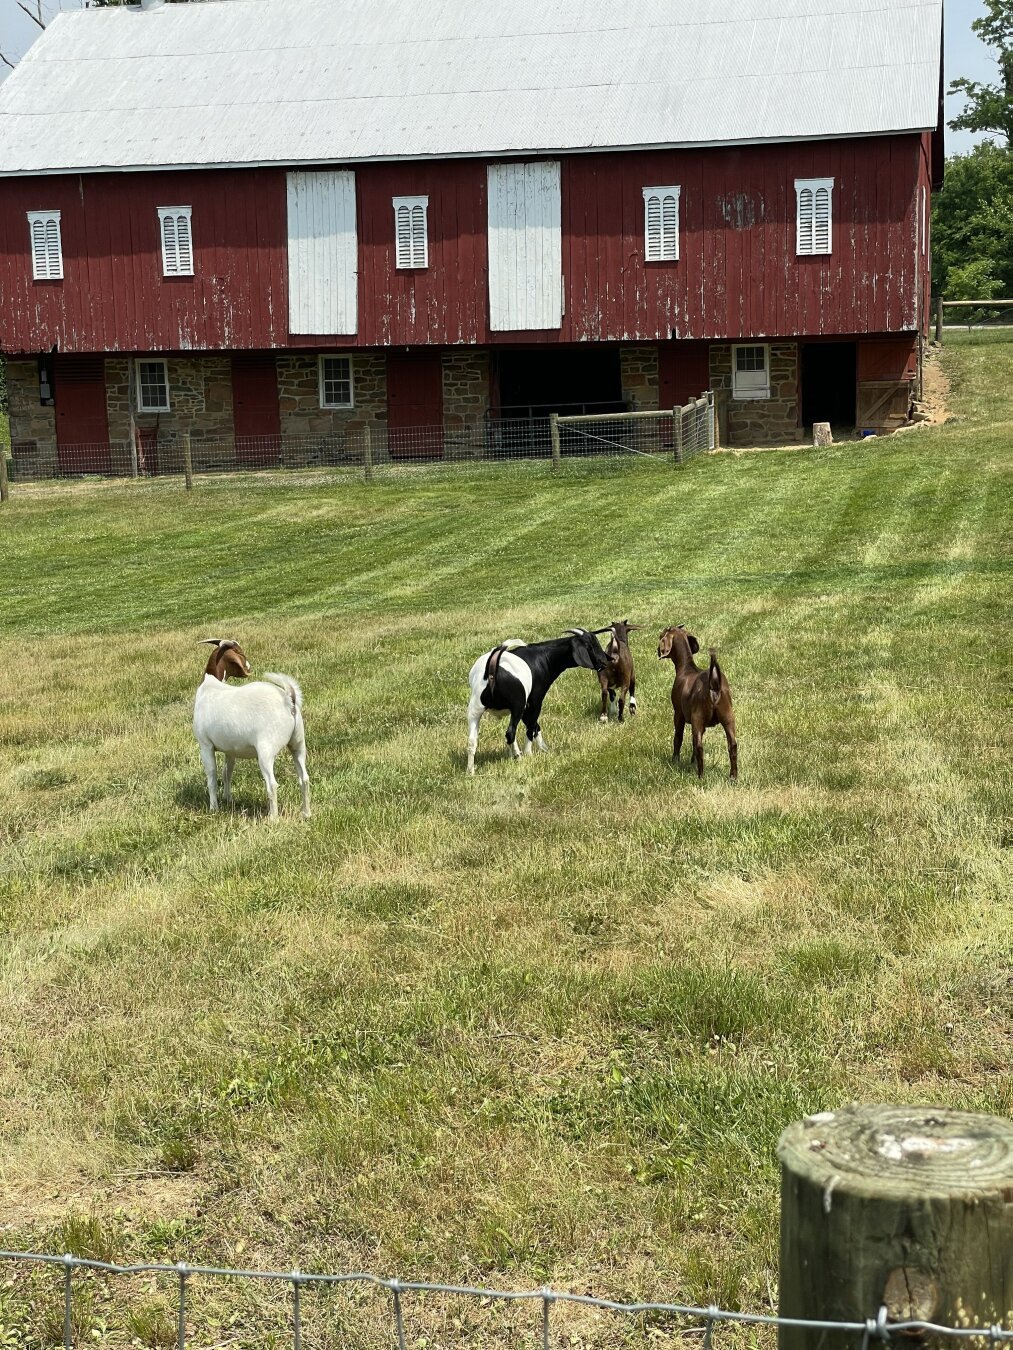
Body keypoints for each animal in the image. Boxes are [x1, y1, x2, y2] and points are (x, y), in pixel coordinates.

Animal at [470, 629, 610, 777]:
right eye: (589, 646)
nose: (604, 662)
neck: (542, 657)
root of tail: (491, 669)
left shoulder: (527, 707)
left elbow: (535, 726)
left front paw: (544, 749)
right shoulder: (534, 701)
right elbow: (531, 727)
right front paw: (529, 754)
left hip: (475, 708)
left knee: (472, 741)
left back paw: (471, 770)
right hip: (517, 705)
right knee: (510, 733)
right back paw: (518, 757)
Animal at [659, 623, 740, 783]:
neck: (686, 668)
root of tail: (714, 683)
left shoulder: (679, 714)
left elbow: (678, 738)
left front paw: (675, 760)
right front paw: (692, 762)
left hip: (698, 718)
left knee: (699, 746)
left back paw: (700, 776)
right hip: (728, 717)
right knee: (732, 745)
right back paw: (733, 776)